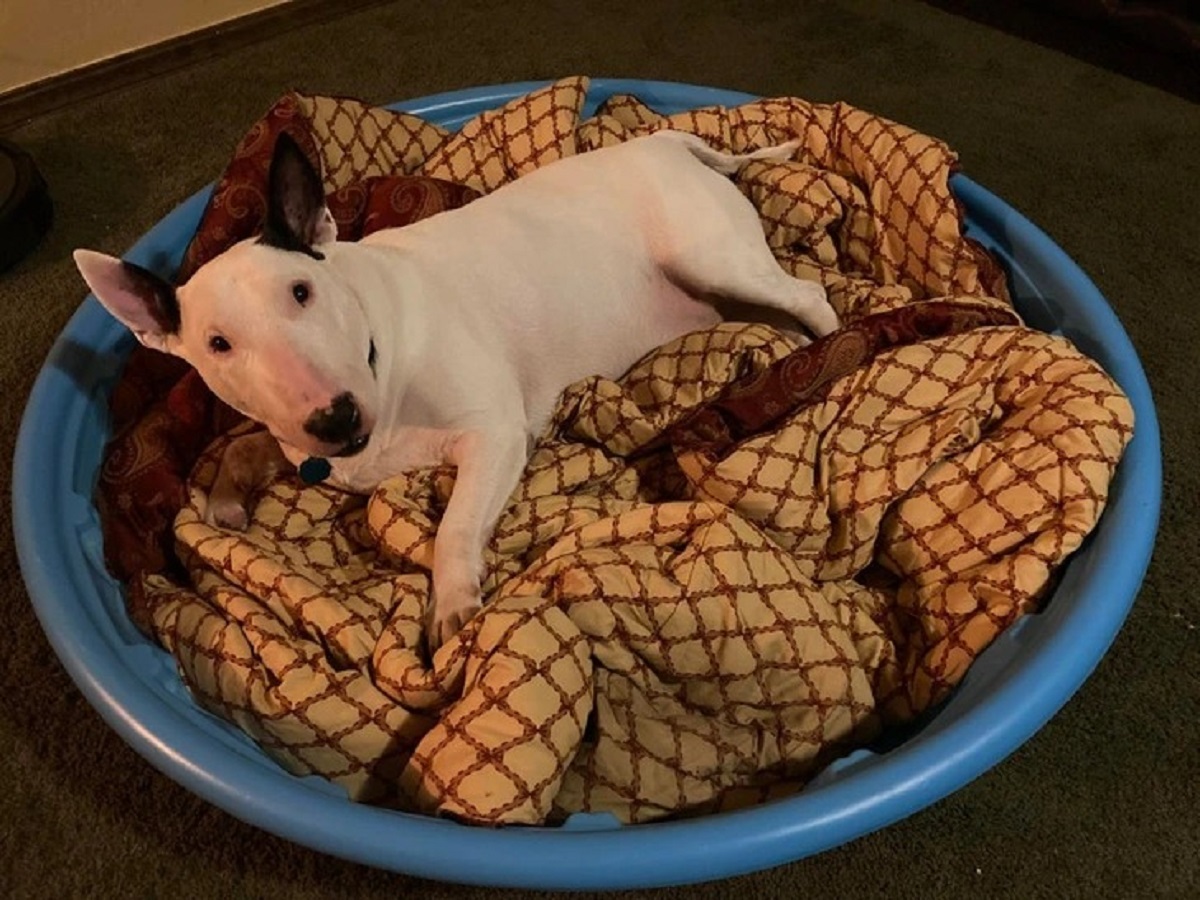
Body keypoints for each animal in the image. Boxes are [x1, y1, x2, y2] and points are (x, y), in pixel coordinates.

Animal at [75, 128, 840, 648]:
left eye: (301, 291)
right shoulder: (303, 444)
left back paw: (835, 354)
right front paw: (228, 500)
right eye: (218, 344)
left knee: (810, 295)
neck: (378, 351)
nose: (337, 418)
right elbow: (245, 446)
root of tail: (666, 140)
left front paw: (453, 609)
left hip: (709, 255)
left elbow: (453, 527)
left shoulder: (495, 435)